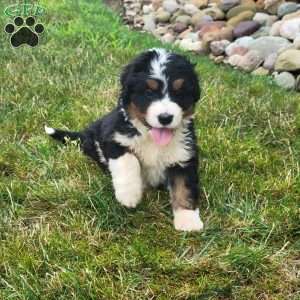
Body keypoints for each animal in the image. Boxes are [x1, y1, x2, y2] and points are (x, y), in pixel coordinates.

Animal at [45, 48, 204, 232]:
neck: (150, 137)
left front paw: (188, 220)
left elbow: (184, 187)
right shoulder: (113, 138)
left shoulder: (184, 155)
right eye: (149, 92)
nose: (165, 118)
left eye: (180, 92)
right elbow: (128, 161)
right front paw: (129, 195)